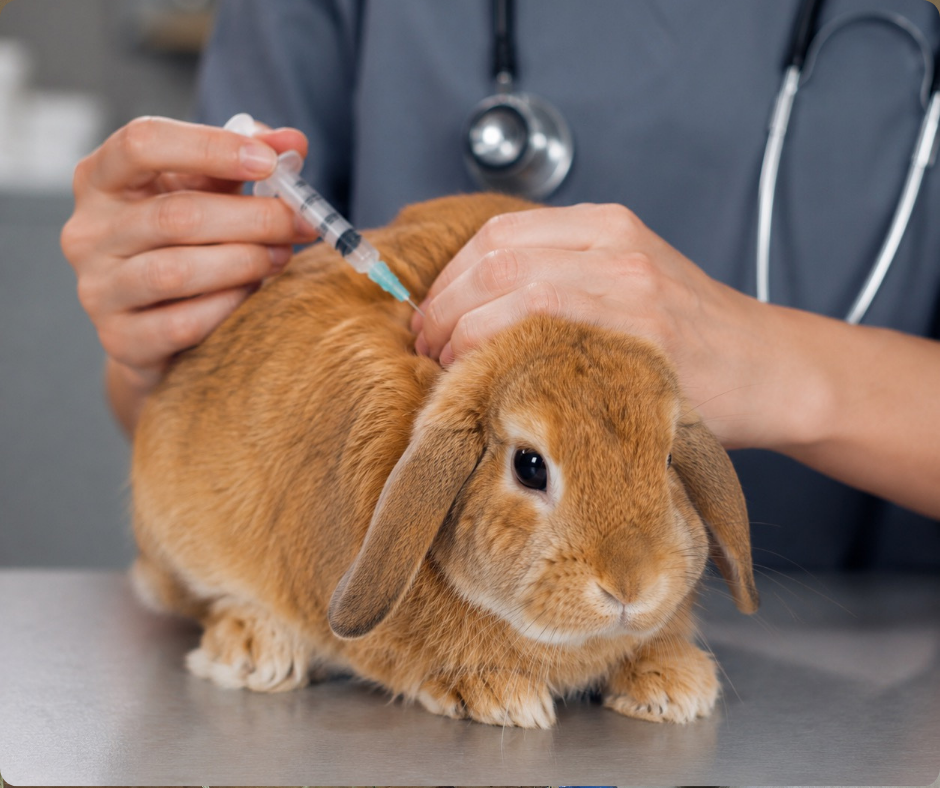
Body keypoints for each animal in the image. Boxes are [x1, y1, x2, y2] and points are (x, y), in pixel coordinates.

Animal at [130, 192, 758, 729]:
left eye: (668, 457)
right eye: (530, 466)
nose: (631, 588)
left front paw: (675, 686)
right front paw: (499, 696)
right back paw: (255, 649)